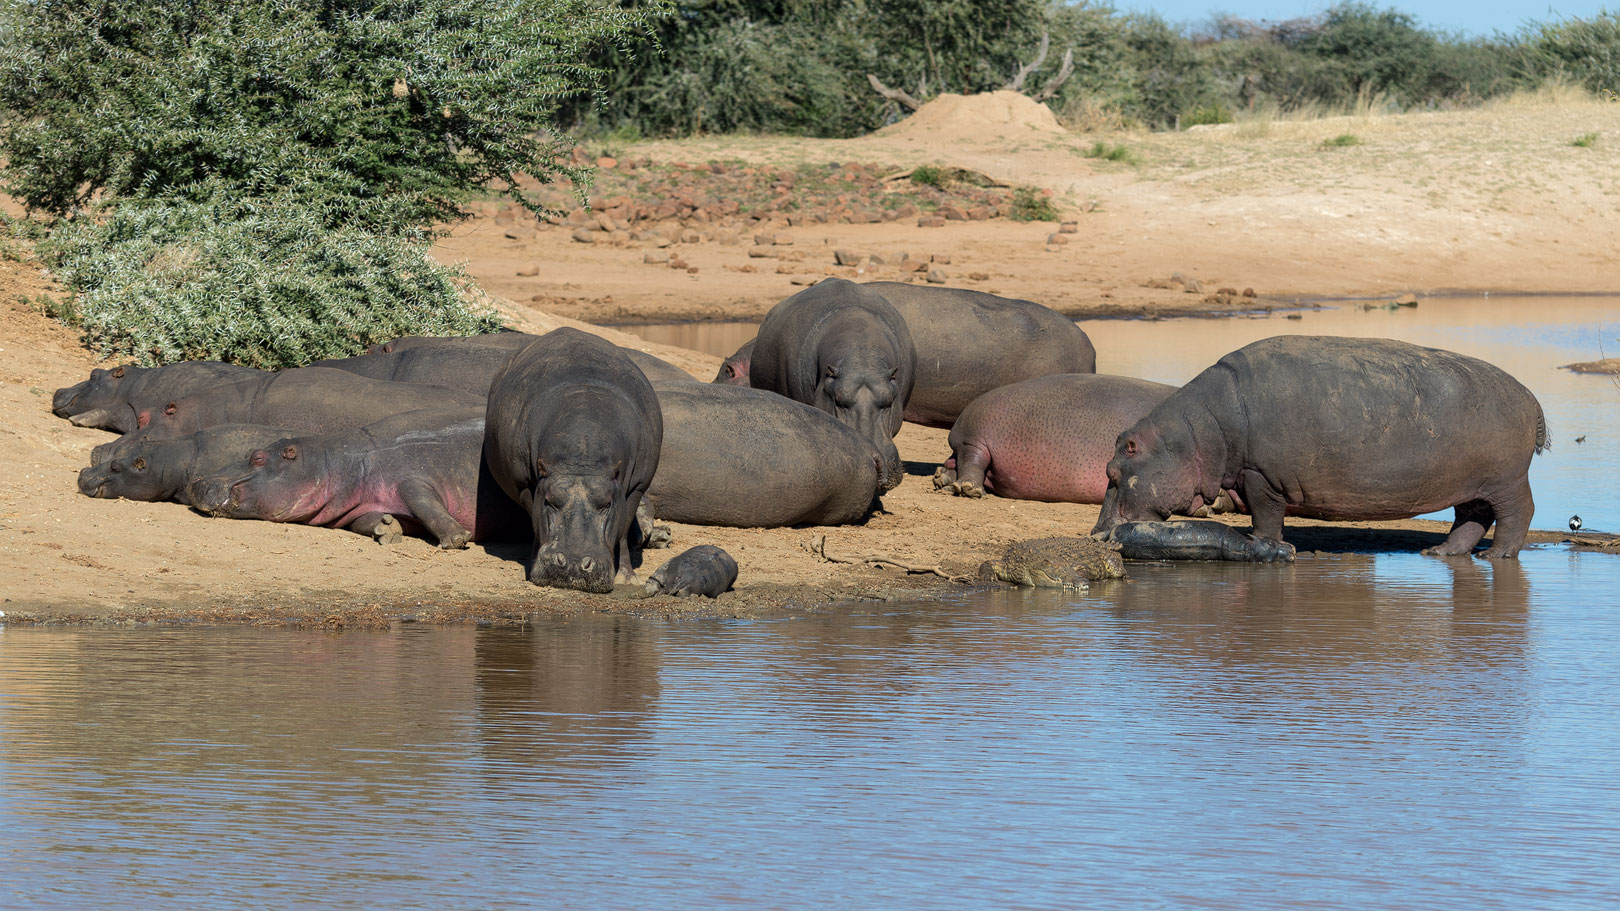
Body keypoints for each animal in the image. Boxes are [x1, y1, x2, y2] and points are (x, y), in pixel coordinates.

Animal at [482, 325, 660, 590]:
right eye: (549, 501)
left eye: (606, 504)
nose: (574, 564)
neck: (582, 457)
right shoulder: (526, 484)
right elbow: (536, 523)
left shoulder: (635, 488)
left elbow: (622, 530)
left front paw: (628, 579)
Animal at [1095, 335, 1548, 557]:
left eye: (1113, 472)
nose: (1097, 532)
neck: (1192, 434)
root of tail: (1531, 396)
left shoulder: (1260, 476)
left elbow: (1266, 515)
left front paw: (1267, 543)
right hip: (1474, 486)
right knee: (1471, 520)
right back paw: (1438, 554)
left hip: (1507, 481)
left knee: (1517, 514)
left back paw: (1496, 557)